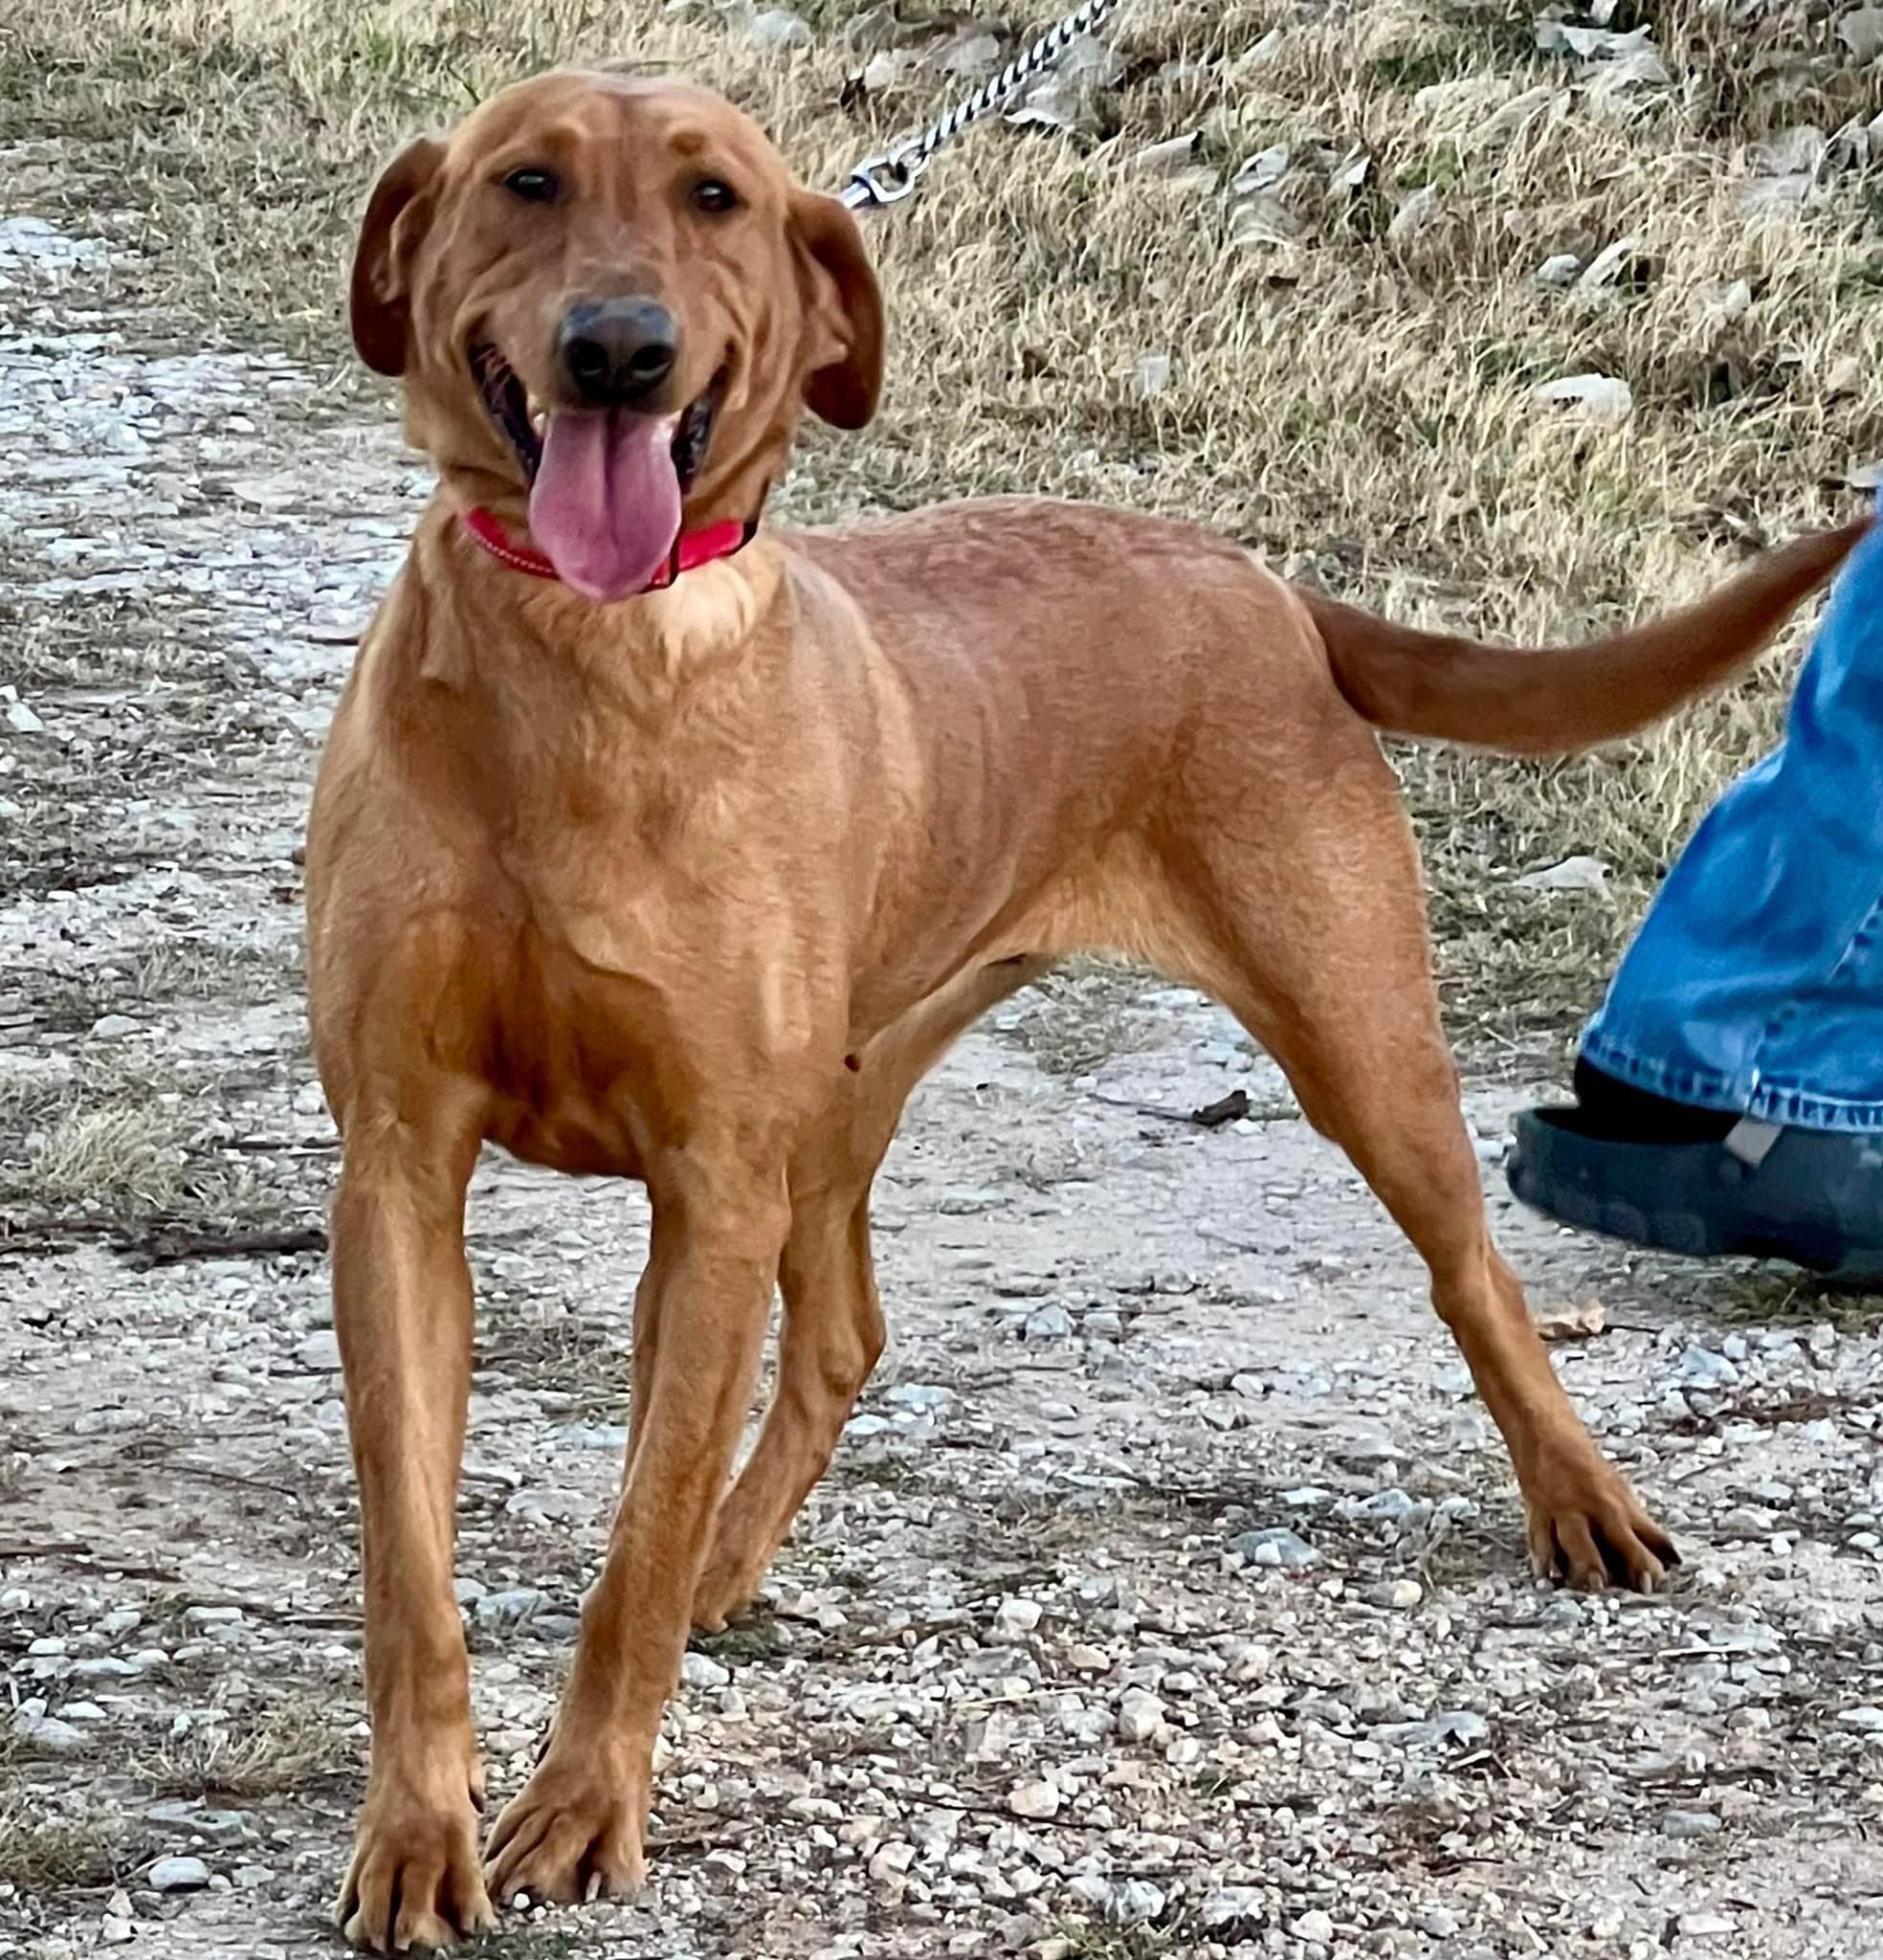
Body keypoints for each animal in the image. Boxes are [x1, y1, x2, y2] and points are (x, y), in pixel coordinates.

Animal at [309, 69, 1865, 1951]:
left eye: (714, 198)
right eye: (527, 182)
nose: (621, 349)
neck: (580, 663)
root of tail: (1262, 586)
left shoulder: (707, 1188)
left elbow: (634, 1538)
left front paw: (590, 1798)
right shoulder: (402, 1172)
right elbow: (414, 1563)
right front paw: (419, 1829)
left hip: (1349, 1039)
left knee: (1474, 1275)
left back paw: (1586, 1504)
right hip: (843, 1100)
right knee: (843, 1338)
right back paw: (736, 1568)